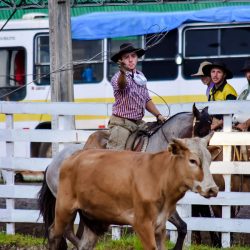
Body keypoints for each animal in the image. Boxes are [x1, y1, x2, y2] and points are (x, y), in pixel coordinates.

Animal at [38, 103, 214, 248]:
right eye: (200, 130)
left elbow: (183, 227)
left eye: (210, 132)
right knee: (65, 230)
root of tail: (53, 163)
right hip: (66, 204)